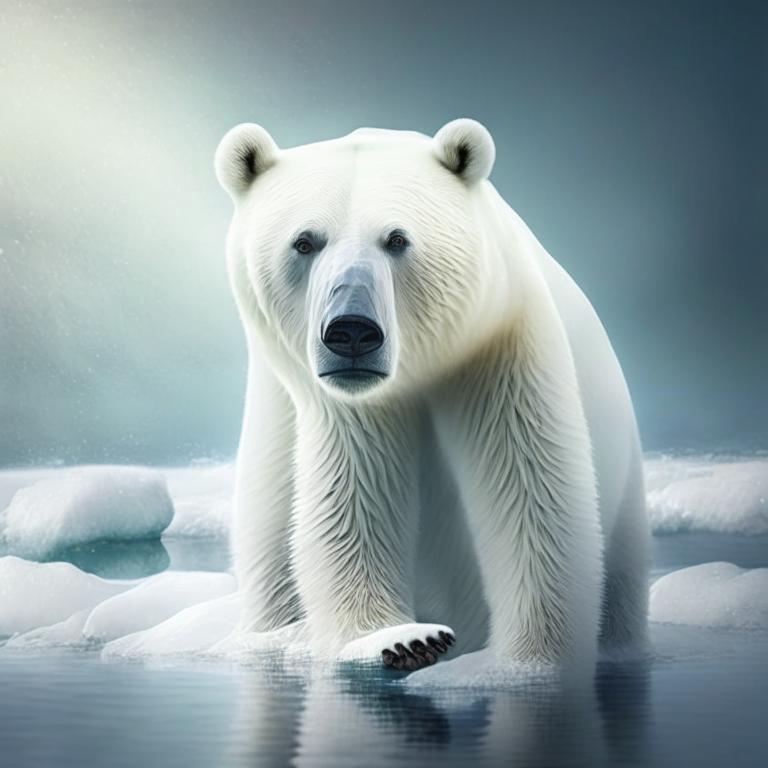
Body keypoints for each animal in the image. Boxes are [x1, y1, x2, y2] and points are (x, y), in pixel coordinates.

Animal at [214, 118, 649, 673]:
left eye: (397, 239)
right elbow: (349, 497)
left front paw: (528, 659)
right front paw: (402, 639)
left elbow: (530, 493)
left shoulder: (498, 347)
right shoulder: (341, 400)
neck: (421, 365)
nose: (352, 332)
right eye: (305, 242)